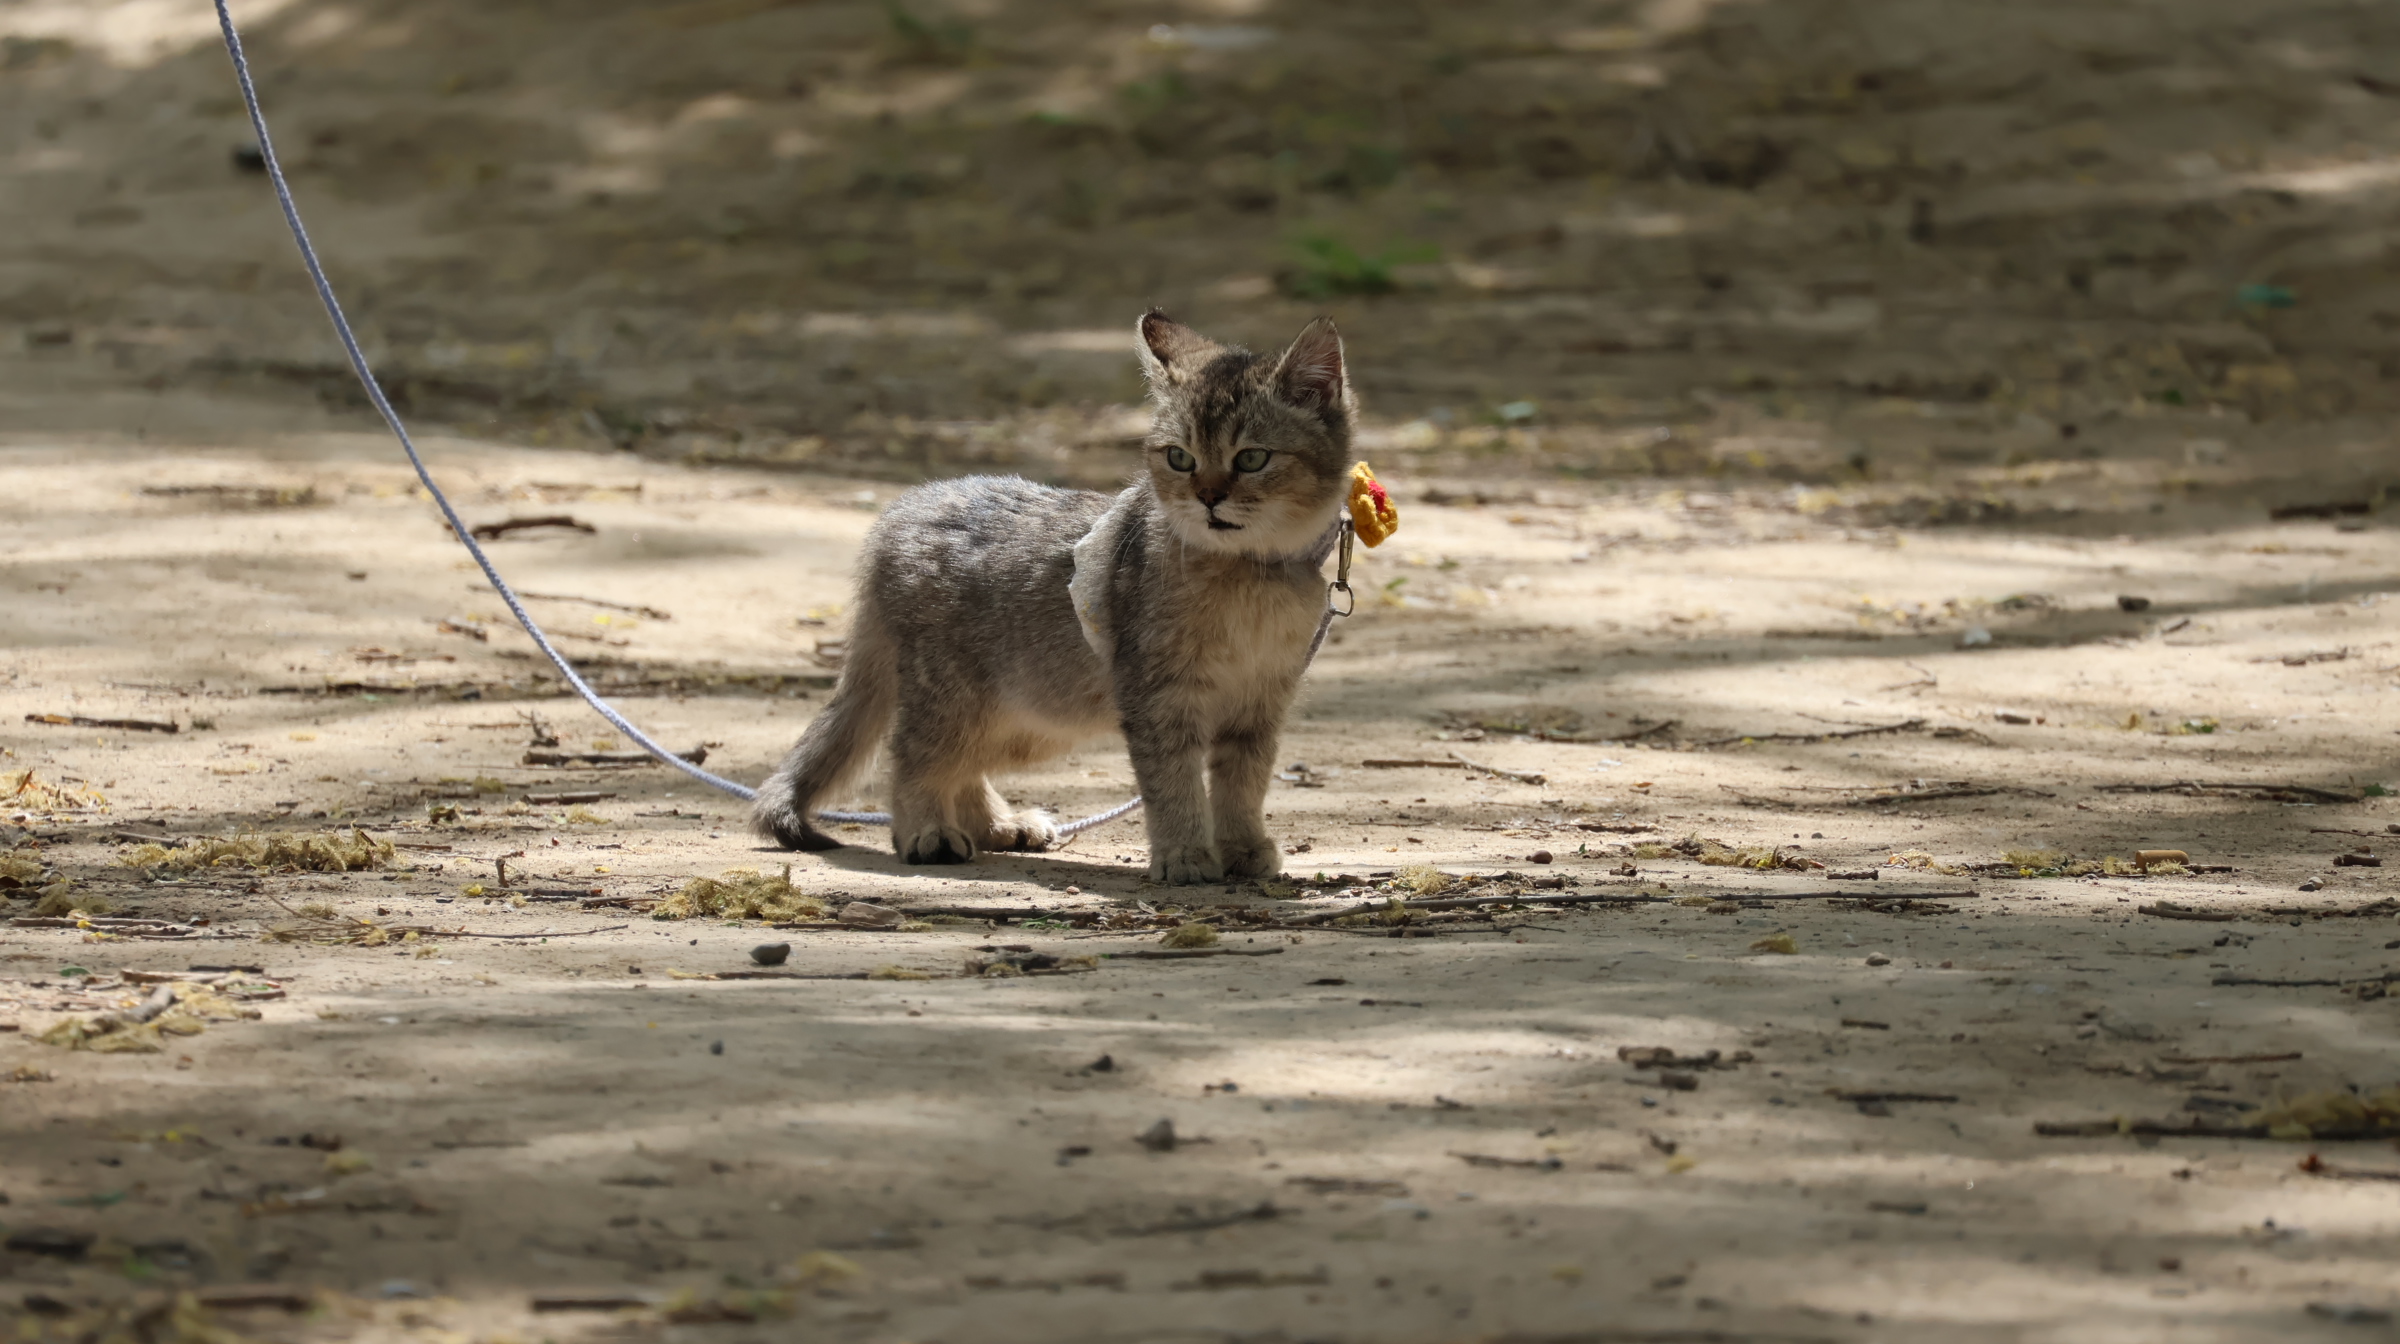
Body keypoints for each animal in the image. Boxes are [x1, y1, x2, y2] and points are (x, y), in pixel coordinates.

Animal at [748, 309, 1353, 888]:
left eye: (1251, 459)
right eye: (1180, 458)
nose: (1207, 497)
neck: (1248, 580)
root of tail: (903, 509)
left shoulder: (1259, 702)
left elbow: (1242, 785)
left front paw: (1243, 849)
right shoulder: (1160, 699)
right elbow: (1174, 784)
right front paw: (1183, 854)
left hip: (1029, 717)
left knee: (960, 765)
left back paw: (998, 825)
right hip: (959, 700)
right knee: (912, 756)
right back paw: (927, 830)